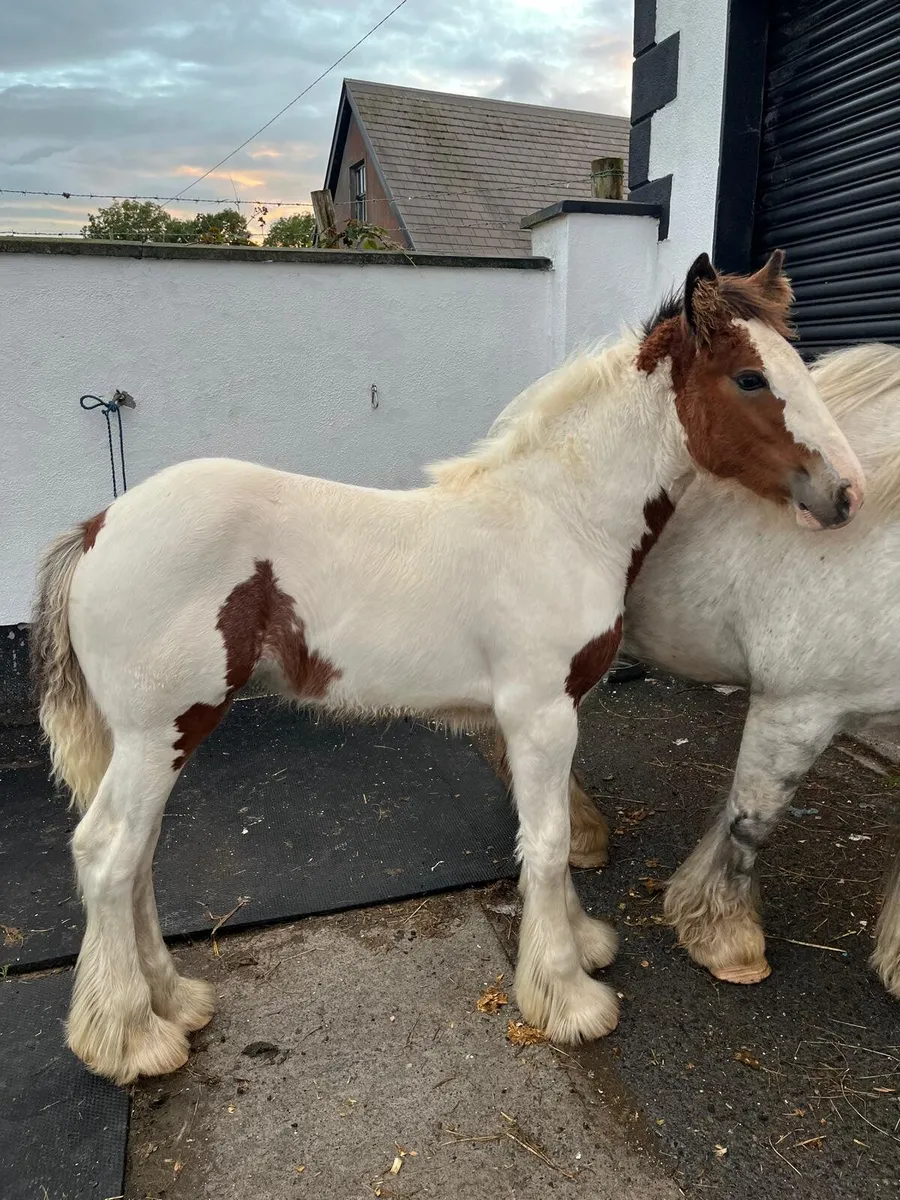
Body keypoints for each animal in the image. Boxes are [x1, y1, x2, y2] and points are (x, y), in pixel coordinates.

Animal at [31, 251, 864, 1086]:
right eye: (750, 377)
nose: (847, 492)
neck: (563, 520)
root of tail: (98, 527)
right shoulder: (538, 715)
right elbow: (549, 840)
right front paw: (568, 998)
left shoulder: (555, 713)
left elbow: (552, 828)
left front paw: (583, 947)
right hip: (162, 729)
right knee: (107, 855)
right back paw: (130, 1037)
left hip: (155, 738)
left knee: (137, 857)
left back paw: (174, 1001)